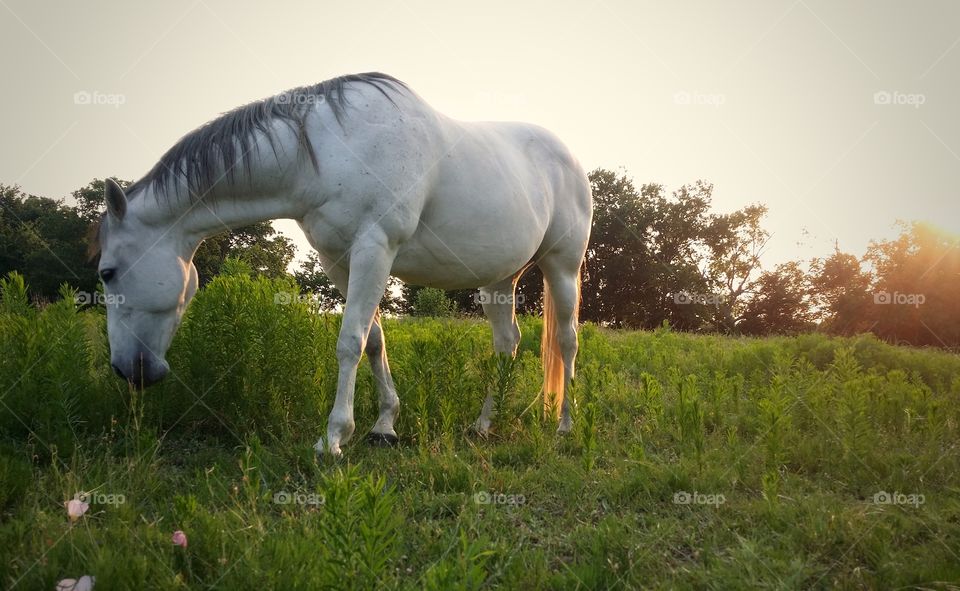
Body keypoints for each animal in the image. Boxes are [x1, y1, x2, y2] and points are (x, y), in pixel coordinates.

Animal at [94, 71, 596, 456]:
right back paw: (484, 424)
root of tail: (571, 158)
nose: (126, 370)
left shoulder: (375, 248)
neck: (326, 153)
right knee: (507, 344)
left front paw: (333, 438)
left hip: (563, 266)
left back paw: (565, 426)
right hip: (498, 279)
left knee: (567, 341)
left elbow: (349, 341)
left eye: (107, 272)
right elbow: (373, 341)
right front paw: (383, 426)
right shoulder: (338, 259)